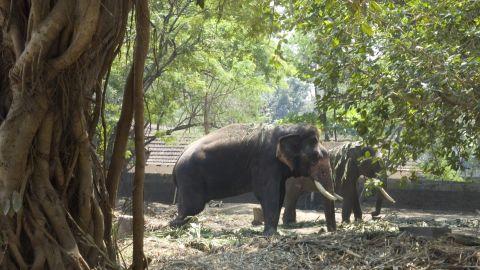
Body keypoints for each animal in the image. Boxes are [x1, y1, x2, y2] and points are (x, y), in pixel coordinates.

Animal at [169, 123, 342, 235]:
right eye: (315, 158)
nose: (330, 232)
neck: (289, 130)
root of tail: (176, 162)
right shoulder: (265, 161)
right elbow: (267, 193)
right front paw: (271, 234)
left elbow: (280, 193)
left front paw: (272, 231)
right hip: (190, 177)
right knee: (194, 206)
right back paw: (175, 225)